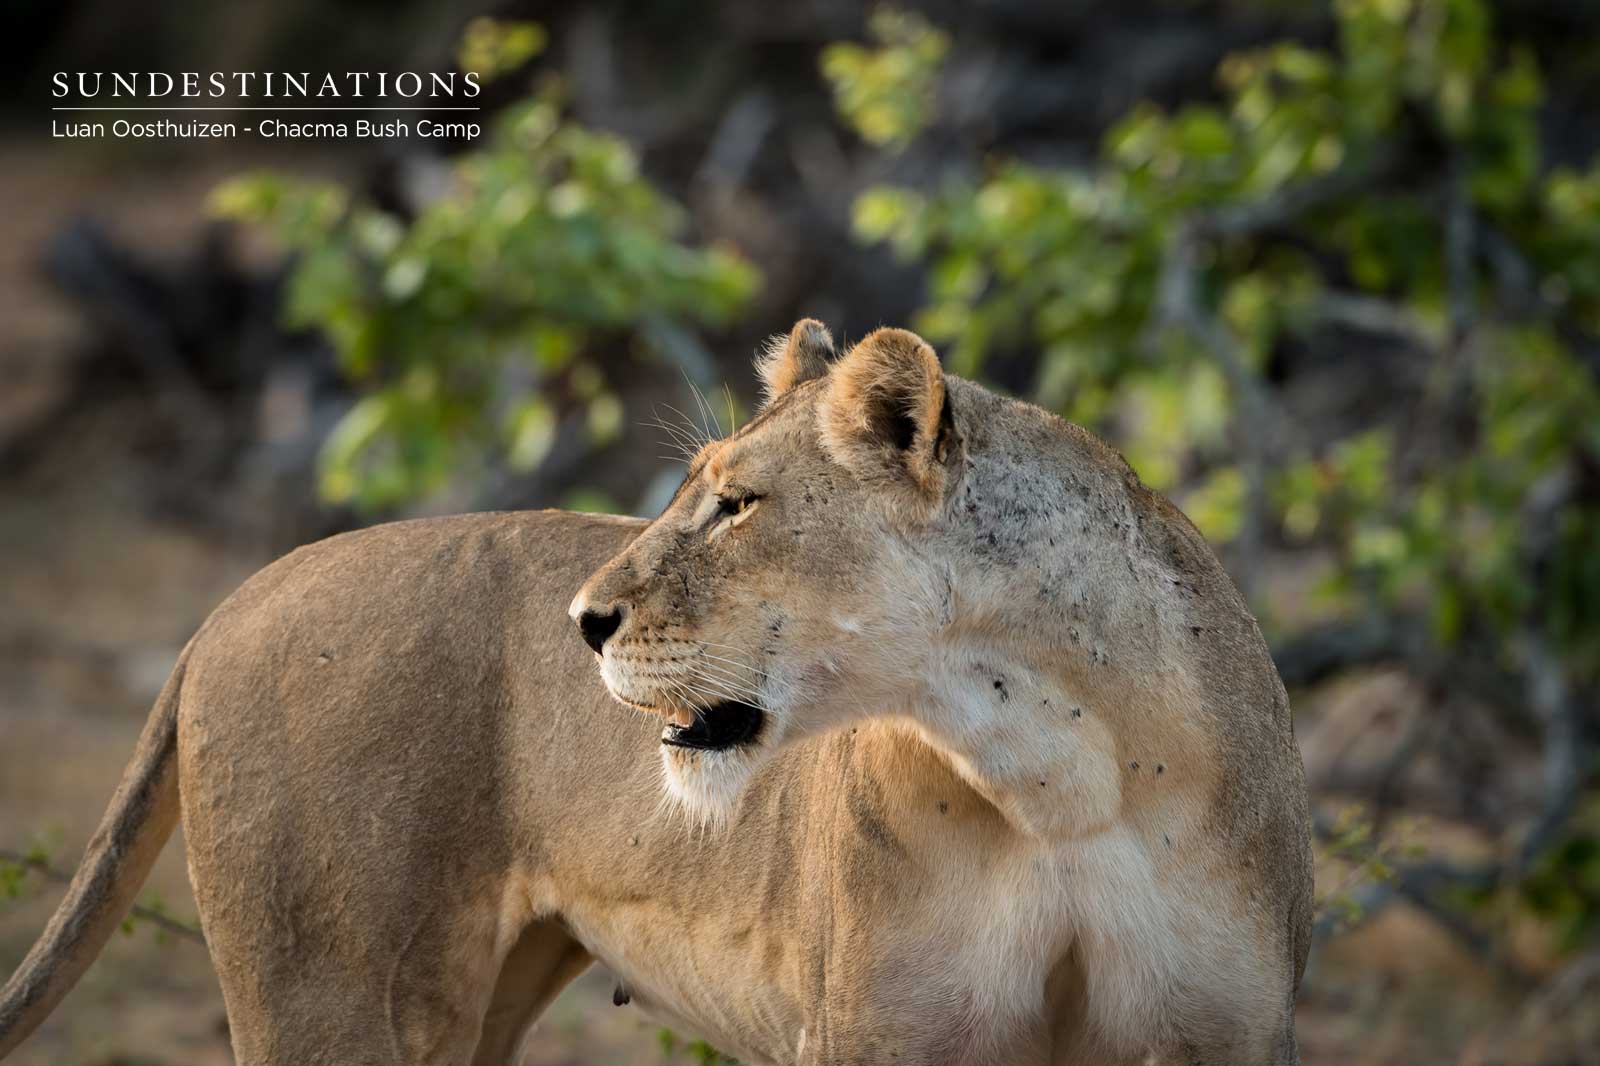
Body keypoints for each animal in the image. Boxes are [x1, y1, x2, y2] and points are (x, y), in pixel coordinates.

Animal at [0, 321, 1312, 1065]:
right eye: (693, 486)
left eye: (735, 504)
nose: (581, 621)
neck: (1059, 777)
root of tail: (225, 605)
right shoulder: (884, 1034)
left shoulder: (1225, 1037)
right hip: (330, 999)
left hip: (486, 994)